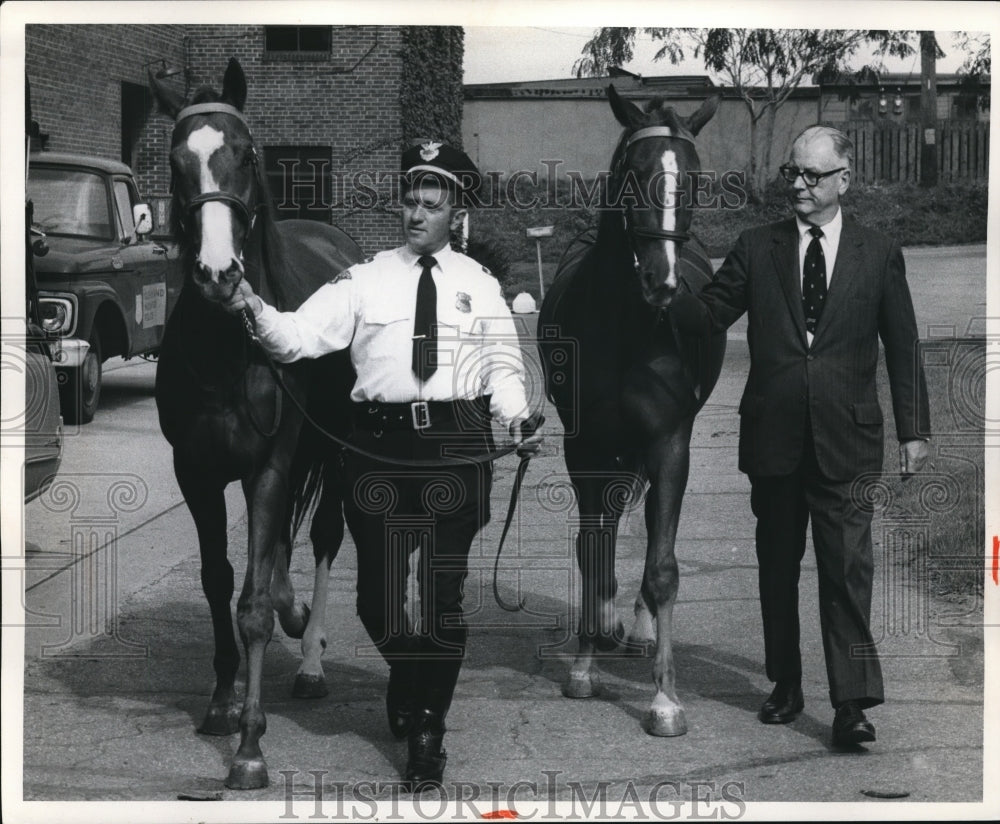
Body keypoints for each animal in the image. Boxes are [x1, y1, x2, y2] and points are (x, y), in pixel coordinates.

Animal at [150, 59, 362, 792]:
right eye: (175, 161)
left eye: (245, 155)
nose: (218, 273)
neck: (227, 346)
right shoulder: (198, 471)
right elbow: (221, 582)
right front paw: (222, 704)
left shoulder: (270, 465)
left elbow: (252, 607)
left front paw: (249, 746)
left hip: (329, 453)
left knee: (321, 538)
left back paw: (311, 658)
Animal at [540, 87, 728, 736]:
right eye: (634, 174)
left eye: (693, 178)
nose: (662, 281)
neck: (625, 325)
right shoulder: (584, 446)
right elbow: (592, 550)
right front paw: (583, 666)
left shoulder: (669, 442)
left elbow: (663, 563)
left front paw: (665, 700)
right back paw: (608, 624)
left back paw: (641, 629)